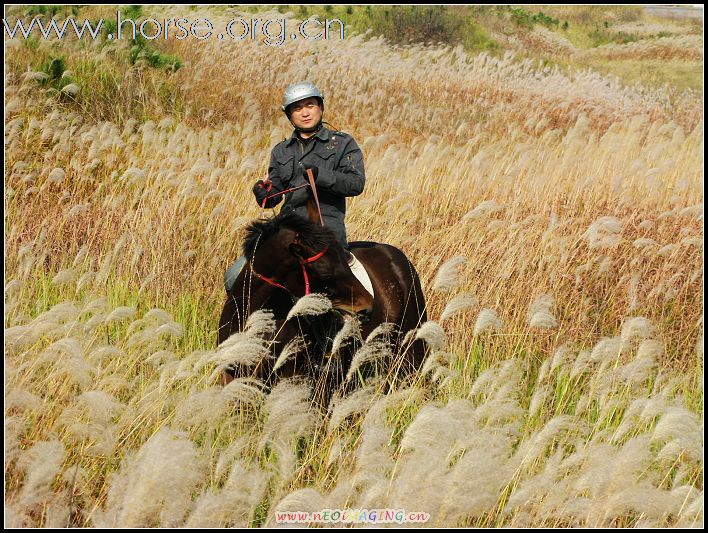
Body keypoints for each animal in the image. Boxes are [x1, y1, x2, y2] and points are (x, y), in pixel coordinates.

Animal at [217, 210, 426, 402]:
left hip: (410, 348)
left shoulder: (290, 376)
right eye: (325, 272)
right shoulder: (233, 374)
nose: (367, 307)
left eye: (347, 262)